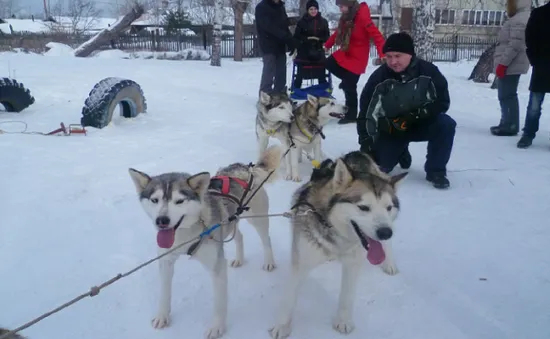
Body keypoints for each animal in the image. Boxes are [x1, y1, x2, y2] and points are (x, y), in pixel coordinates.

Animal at [129, 146, 282, 339]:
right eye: (154, 200)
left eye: (179, 201)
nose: (161, 221)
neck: (185, 235)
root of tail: (246, 167)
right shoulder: (166, 261)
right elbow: (164, 292)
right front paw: (162, 316)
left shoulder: (216, 265)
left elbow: (219, 302)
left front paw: (217, 327)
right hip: (229, 223)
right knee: (239, 236)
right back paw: (239, 259)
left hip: (257, 219)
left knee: (266, 239)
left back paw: (269, 262)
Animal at [270, 152, 408, 339]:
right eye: (363, 207)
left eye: (388, 207)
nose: (385, 232)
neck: (336, 233)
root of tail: (357, 154)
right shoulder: (301, 263)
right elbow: (289, 298)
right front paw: (282, 326)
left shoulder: (353, 263)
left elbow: (347, 297)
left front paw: (343, 321)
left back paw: (390, 263)